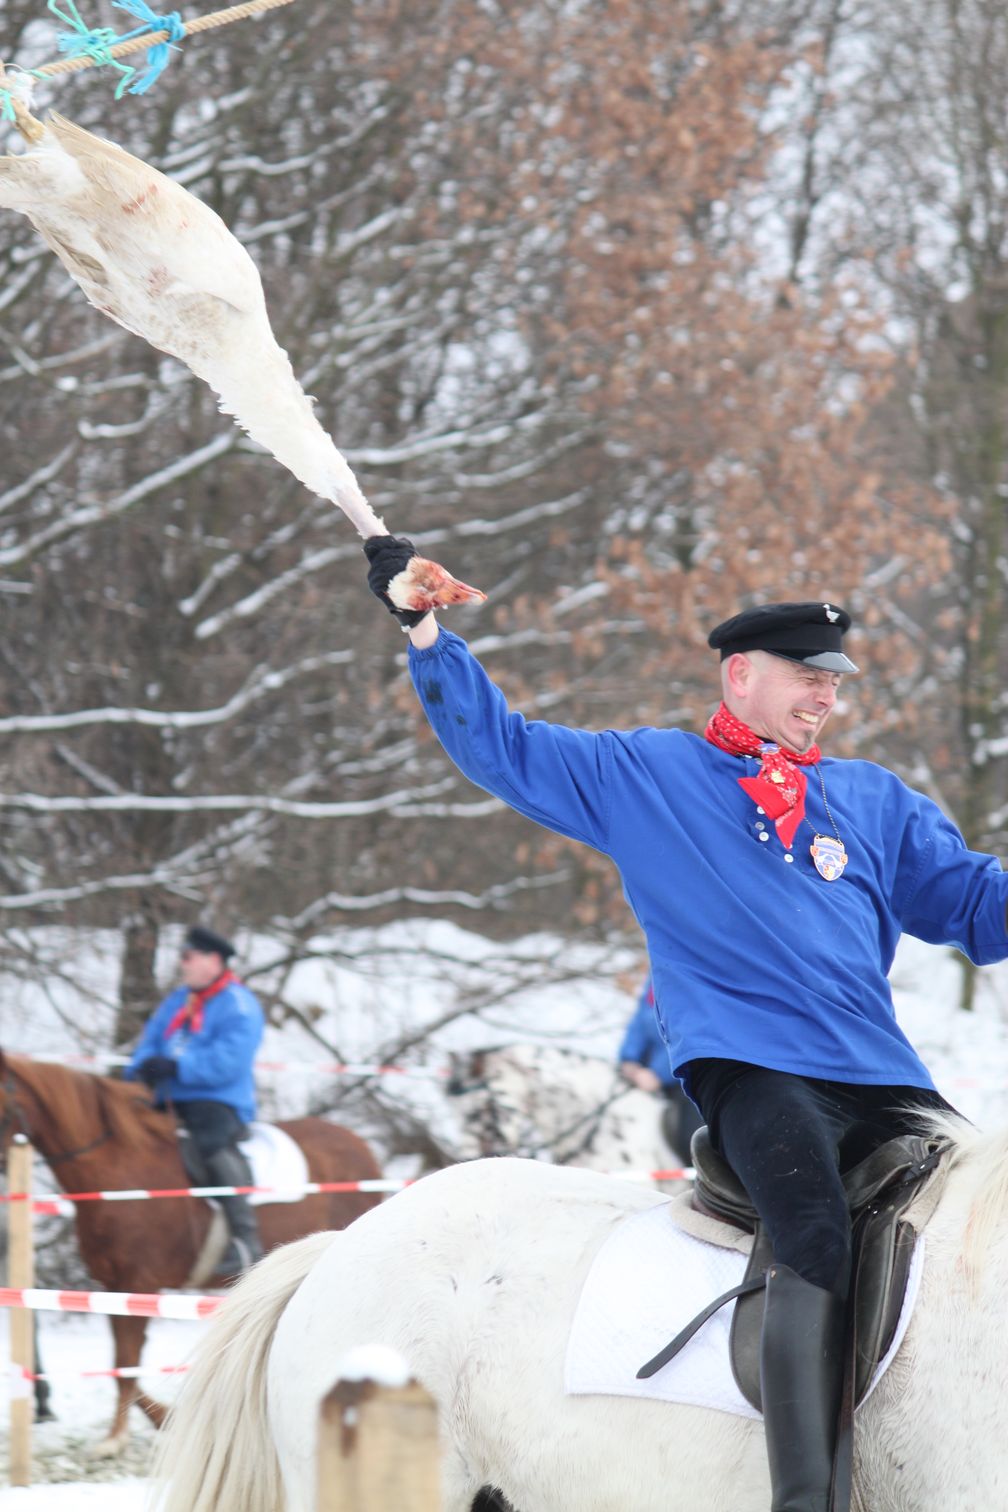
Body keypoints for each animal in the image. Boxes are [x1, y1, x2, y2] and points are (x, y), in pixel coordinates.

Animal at [0, 1052, 386, 1451]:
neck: (119, 1170)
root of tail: (359, 1145)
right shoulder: (115, 1287)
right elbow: (122, 1364)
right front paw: (159, 1419)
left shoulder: (139, 1282)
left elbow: (126, 1365)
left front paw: (116, 1438)